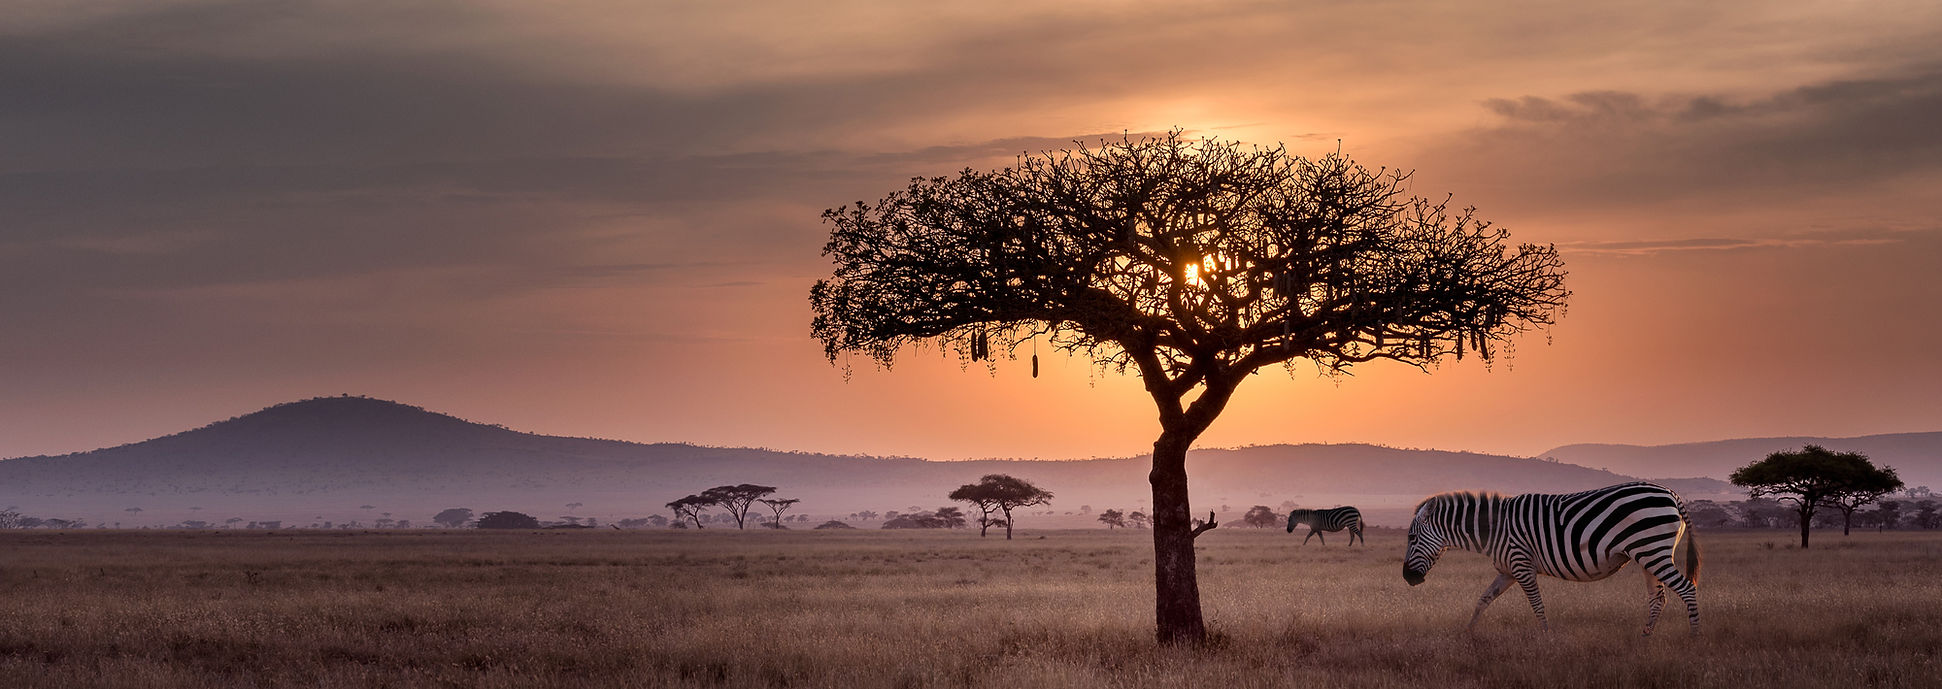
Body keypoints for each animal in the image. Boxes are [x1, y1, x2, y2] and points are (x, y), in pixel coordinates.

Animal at [1403, 481, 1702, 635]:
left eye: (1412, 538)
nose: (1407, 578)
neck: (1496, 529)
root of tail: (1671, 493)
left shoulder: (1521, 565)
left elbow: (1537, 605)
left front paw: (1547, 638)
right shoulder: (1507, 570)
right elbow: (1483, 600)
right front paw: (1467, 634)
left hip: (1653, 552)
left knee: (1687, 589)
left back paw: (1694, 638)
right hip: (1648, 555)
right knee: (1658, 598)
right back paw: (1644, 638)